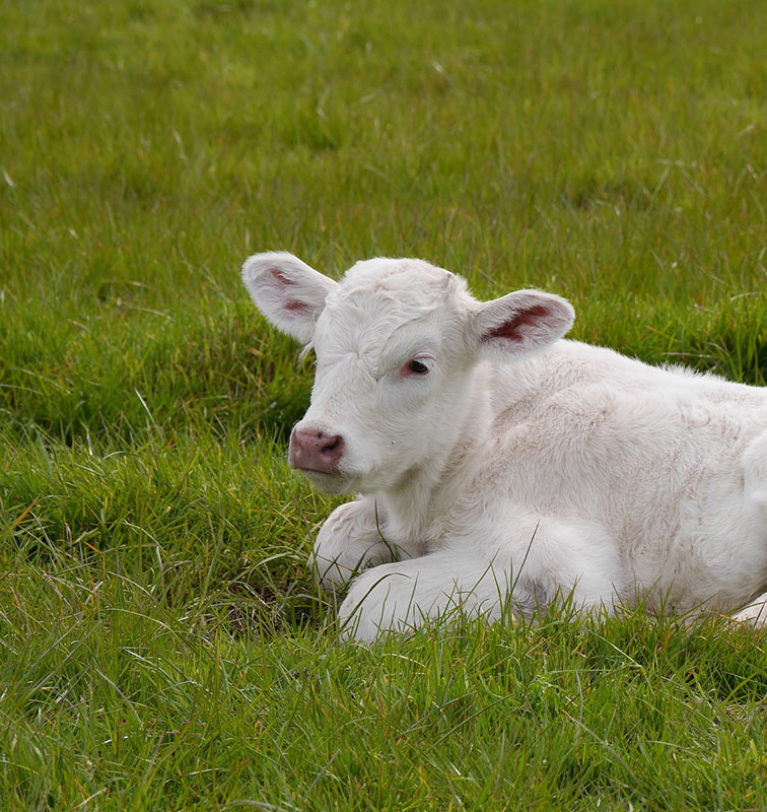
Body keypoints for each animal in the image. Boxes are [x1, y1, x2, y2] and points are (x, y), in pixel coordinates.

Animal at [243, 251, 767, 644]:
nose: (314, 442)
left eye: (418, 364)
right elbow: (331, 545)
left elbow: (367, 602)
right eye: (316, 351)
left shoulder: (557, 557)